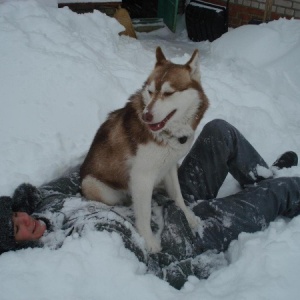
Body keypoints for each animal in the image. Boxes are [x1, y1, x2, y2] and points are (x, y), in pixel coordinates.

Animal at [81, 47, 210, 253]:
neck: (167, 134)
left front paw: (188, 217)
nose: (146, 116)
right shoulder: (141, 177)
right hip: (93, 185)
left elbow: (178, 196)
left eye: (168, 93)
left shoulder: (170, 166)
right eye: (150, 91)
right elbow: (145, 213)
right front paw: (149, 241)